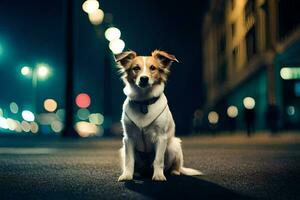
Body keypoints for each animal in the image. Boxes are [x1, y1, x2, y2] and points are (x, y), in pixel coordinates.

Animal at [115, 49, 202, 181]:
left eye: (152, 68)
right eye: (136, 68)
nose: (144, 78)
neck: (144, 102)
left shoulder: (161, 137)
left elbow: (158, 160)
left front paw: (158, 176)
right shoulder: (128, 138)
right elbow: (129, 160)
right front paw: (127, 175)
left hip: (174, 145)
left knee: (174, 165)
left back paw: (174, 172)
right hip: (122, 150)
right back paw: (137, 173)